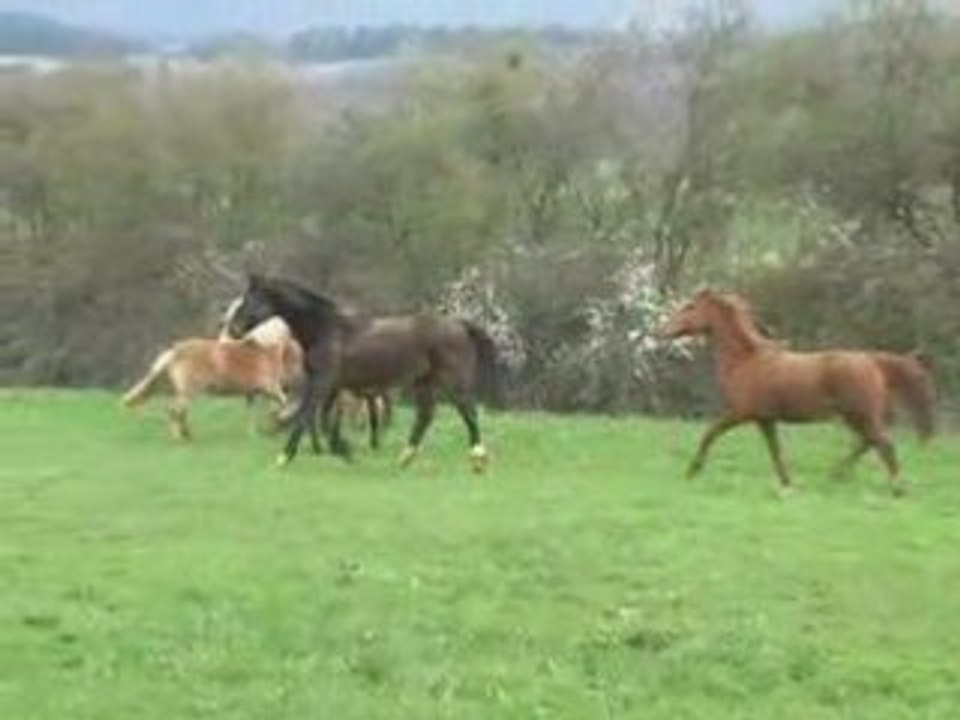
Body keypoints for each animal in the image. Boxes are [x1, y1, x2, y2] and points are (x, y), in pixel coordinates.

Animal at [122, 329, 303, 441]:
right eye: (297, 358)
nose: (300, 377)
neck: (268, 354)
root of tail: (175, 351)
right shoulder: (269, 387)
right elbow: (283, 401)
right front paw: (281, 417)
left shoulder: (252, 393)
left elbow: (252, 413)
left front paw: (255, 432)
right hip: (187, 392)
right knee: (175, 411)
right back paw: (181, 437)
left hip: (173, 389)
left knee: (177, 412)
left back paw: (186, 435)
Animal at [223, 274, 501, 471]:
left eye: (248, 300)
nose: (233, 330)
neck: (326, 329)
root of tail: (460, 325)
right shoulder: (332, 387)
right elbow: (324, 422)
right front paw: (344, 450)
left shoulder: (323, 383)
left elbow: (306, 417)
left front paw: (283, 458)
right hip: (425, 382)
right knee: (425, 416)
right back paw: (404, 459)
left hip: (452, 380)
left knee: (468, 412)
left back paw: (478, 459)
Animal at [661, 289, 935, 495]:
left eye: (690, 306)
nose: (662, 330)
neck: (746, 361)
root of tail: (873, 362)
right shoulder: (765, 419)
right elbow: (776, 451)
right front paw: (787, 483)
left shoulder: (740, 413)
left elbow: (709, 435)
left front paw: (692, 472)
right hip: (857, 417)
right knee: (868, 442)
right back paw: (837, 474)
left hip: (859, 414)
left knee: (882, 443)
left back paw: (896, 488)